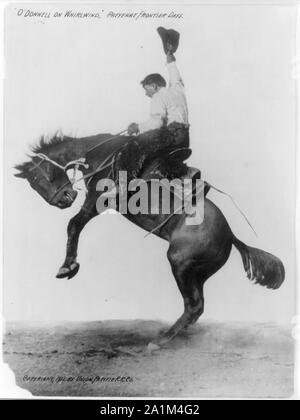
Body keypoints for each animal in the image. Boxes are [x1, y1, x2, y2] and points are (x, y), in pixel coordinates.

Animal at [14, 133, 286, 350]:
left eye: (36, 179)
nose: (64, 199)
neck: (101, 155)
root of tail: (231, 236)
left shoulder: (97, 200)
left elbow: (74, 224)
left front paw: (67, 267)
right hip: (198, 272)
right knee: (197, 307)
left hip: (179, 263)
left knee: (193, 306)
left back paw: (159, 341)